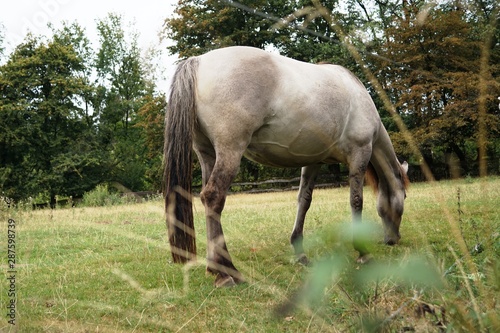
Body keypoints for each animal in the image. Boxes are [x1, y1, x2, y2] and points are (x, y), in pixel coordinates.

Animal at [166, 46, 408, 286]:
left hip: (207, 154)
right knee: (213, 198)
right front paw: (363, 252)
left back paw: (213, 267)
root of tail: (199, 61)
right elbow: (356, 201)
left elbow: (304, 201)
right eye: (404, 197)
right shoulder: (360, 153)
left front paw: (300, 253)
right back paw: (226, 273)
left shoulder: (313, 162)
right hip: (230, 151)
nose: (393, 239)